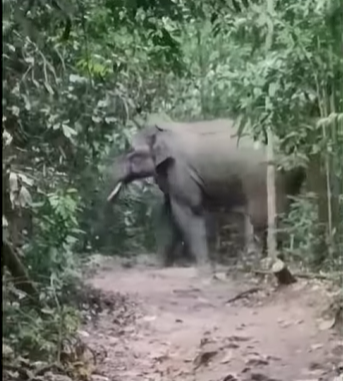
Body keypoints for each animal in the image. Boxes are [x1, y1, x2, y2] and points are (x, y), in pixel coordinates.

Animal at [108, 118, 306, 274]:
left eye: (131, 151)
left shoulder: (180, 170)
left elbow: (188, 212)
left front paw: (203, 266)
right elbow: (168, 215)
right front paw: (158, 264)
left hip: (262, 177)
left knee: (261, 218)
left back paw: (259, 261)